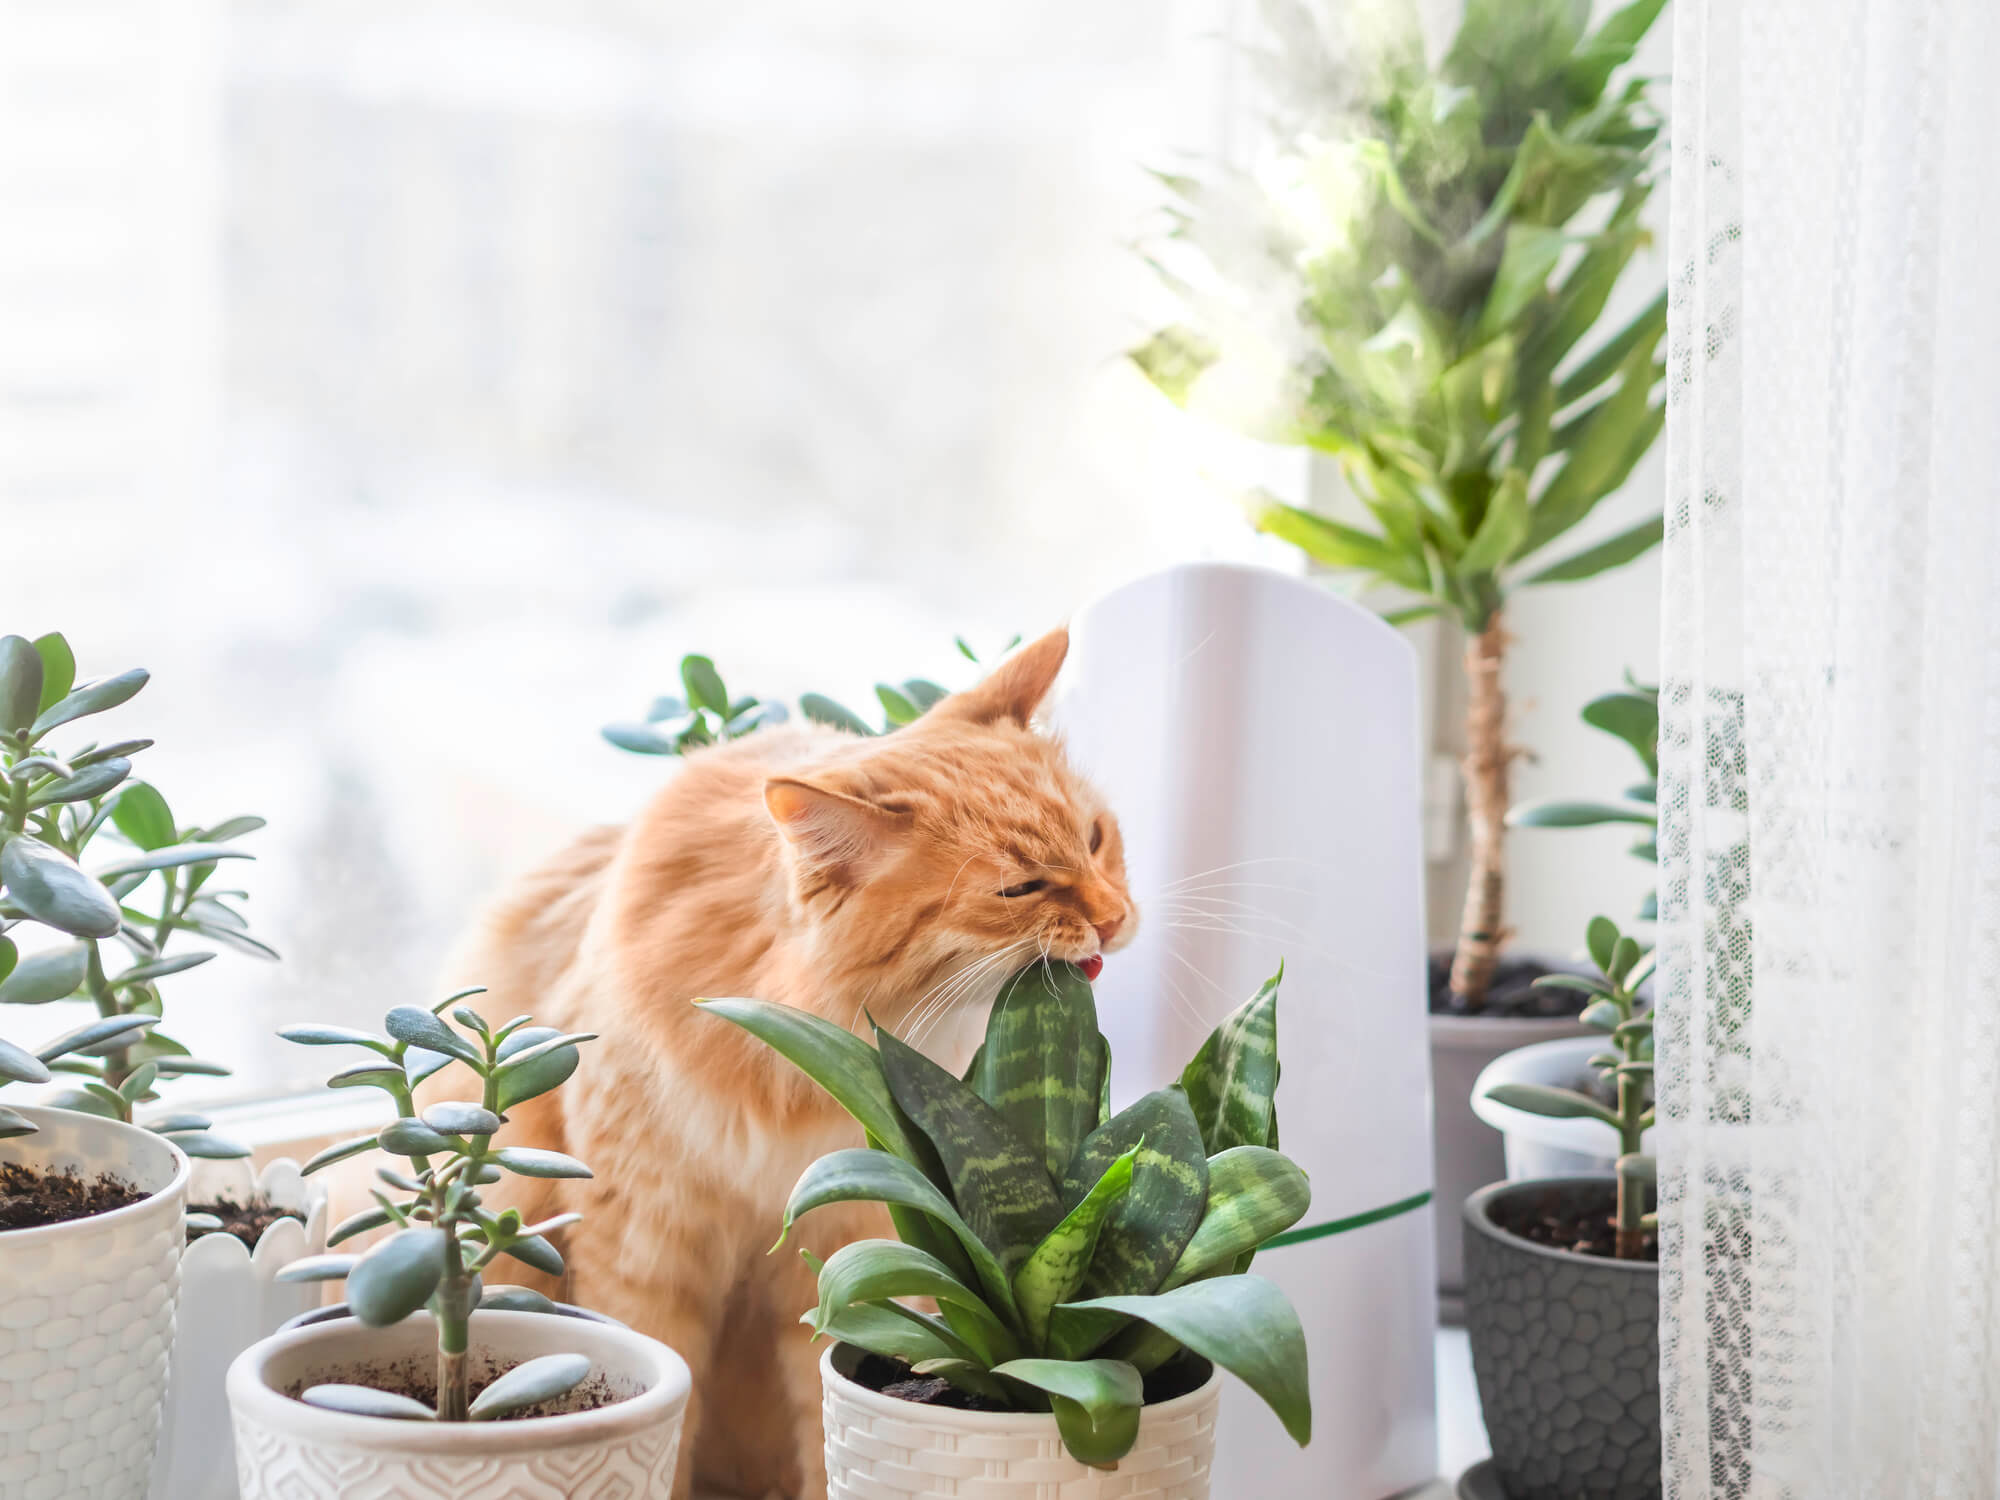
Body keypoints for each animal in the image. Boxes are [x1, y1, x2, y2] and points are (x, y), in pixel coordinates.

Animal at [434, 628, 1128, 1496]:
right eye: (1021, 888)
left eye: (1095, 839)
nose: (1119, 917)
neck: (787, 1050)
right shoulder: (646, 1250)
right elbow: (669, 1415)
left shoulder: (840, 1251)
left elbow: (822, 1431)